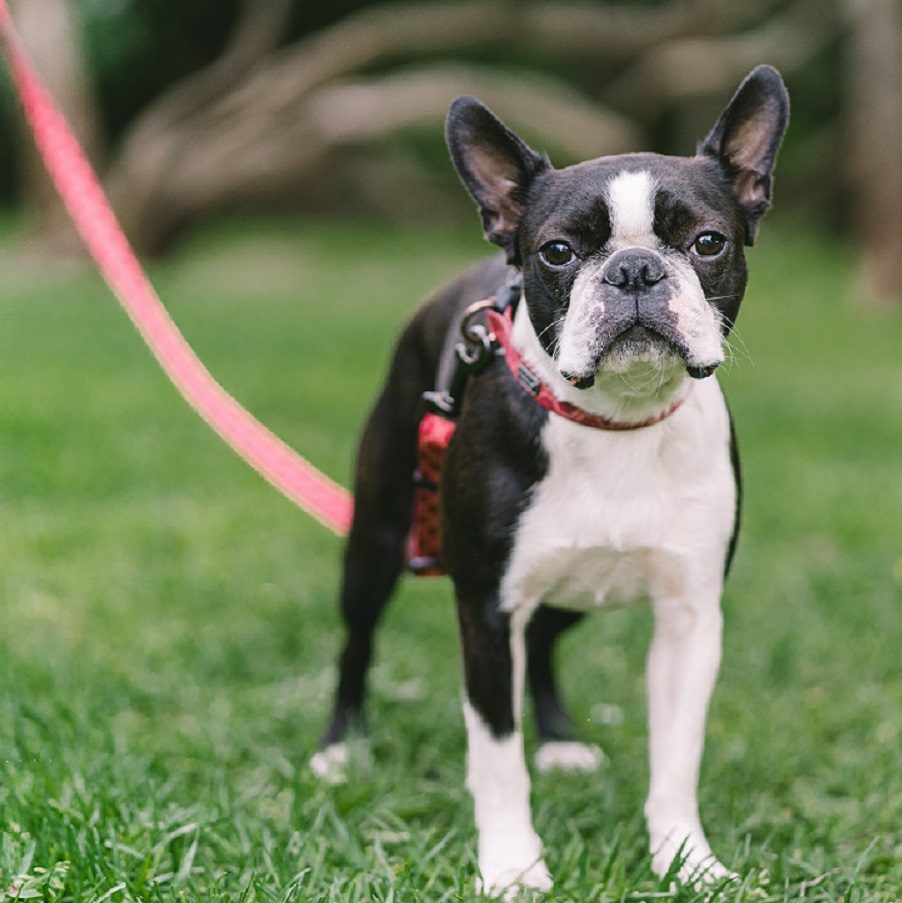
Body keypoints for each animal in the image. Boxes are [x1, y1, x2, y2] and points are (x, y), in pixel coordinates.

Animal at [312, 65, 792, 896]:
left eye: (707, 242)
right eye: (559, 251)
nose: (634, 269)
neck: (616, 423)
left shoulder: (690, 616)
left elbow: (677, 755)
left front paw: (686, 857)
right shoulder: (486, 609)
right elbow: (497, 754)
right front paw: (512, 865)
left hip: (572, 589)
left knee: (545, 644)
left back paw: (563, 742)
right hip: (377, 538)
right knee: (358, 642)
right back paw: (341, 748)